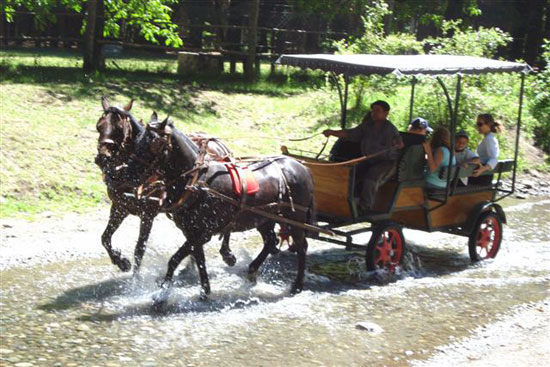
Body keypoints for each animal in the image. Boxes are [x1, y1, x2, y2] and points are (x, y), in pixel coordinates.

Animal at [94, 96, 239, 274]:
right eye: (99, 126)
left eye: (119, 128)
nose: (102, 158)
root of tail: (216, 142)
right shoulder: (120, 207)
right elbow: (105, 238)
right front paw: (121, 261)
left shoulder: (148, 215)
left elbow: (139, 250)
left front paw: (135, 278)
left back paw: (227, 253)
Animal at [125, 116, 314, 298]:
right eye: (138, 139)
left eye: (154, 143)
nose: (128, 172)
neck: (197, 181)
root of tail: (300, 166)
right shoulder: (192, 232)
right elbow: (200, 260)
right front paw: (205, 290)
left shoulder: (202, 233)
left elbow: (174, 259)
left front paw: (162, 293)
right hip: (263, 218)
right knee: (270, 241)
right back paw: (252, 271)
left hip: (295, 218)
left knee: (301, 245)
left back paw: (297, 285)